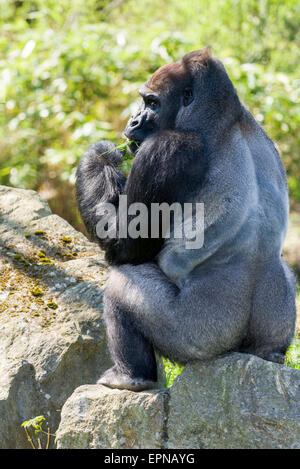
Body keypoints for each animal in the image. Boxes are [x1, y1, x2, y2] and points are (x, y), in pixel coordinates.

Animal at [76, 47, 296, 392]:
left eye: (152, 103)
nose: (134, 120)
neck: (222, 119)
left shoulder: (166, 148)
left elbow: (124, 245)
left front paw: (99, 156)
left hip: (198, 338)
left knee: (122, 284)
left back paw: (130, 377)